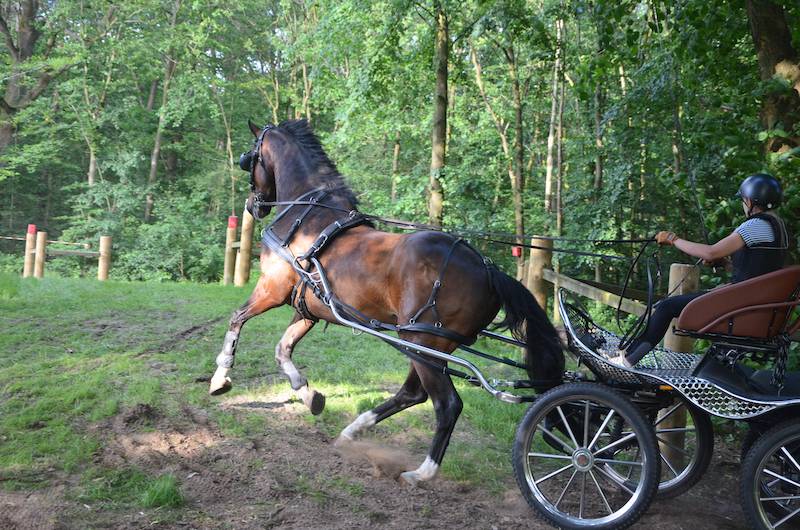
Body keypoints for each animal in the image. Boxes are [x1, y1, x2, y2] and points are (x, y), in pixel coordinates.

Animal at [208, 118, 564, 482]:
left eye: (249, 158)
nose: (253, 206)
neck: (307, 219)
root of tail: (488, 269)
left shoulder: (272, 289)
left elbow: (237, 318)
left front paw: (220, 378)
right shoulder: (309, 307)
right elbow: (283, 350)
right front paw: (309, 395)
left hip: (420, 340)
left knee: (446, 404)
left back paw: (422, 472)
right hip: (428, 345)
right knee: (413, 393)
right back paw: (354, 430)